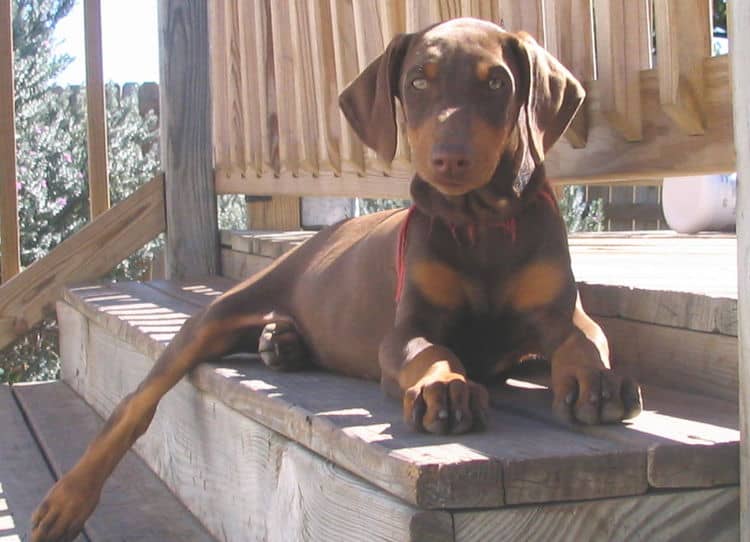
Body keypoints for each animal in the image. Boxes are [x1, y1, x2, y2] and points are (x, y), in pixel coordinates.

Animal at [33, 18, 640, 542]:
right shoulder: (407, 327)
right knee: (134, 403)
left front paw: (597, 381)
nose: (450, 160)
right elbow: (431, 350)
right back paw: (67, 499)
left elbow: (586, 339)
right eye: (417, 81)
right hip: (215, 317)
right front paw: (445, 386)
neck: (478, 224)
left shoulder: (560, 311)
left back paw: (282, 343)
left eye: (497, 82)